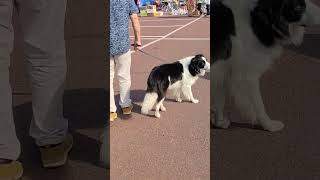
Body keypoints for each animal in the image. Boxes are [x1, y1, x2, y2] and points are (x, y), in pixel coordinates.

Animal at [212, 0, 320, 132]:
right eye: (298, 7)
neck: (259, 19)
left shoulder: (223, 69)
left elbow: (220, 99)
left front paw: (219, 122)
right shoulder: (248, 76)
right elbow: (259, 105)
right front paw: (269, 126)